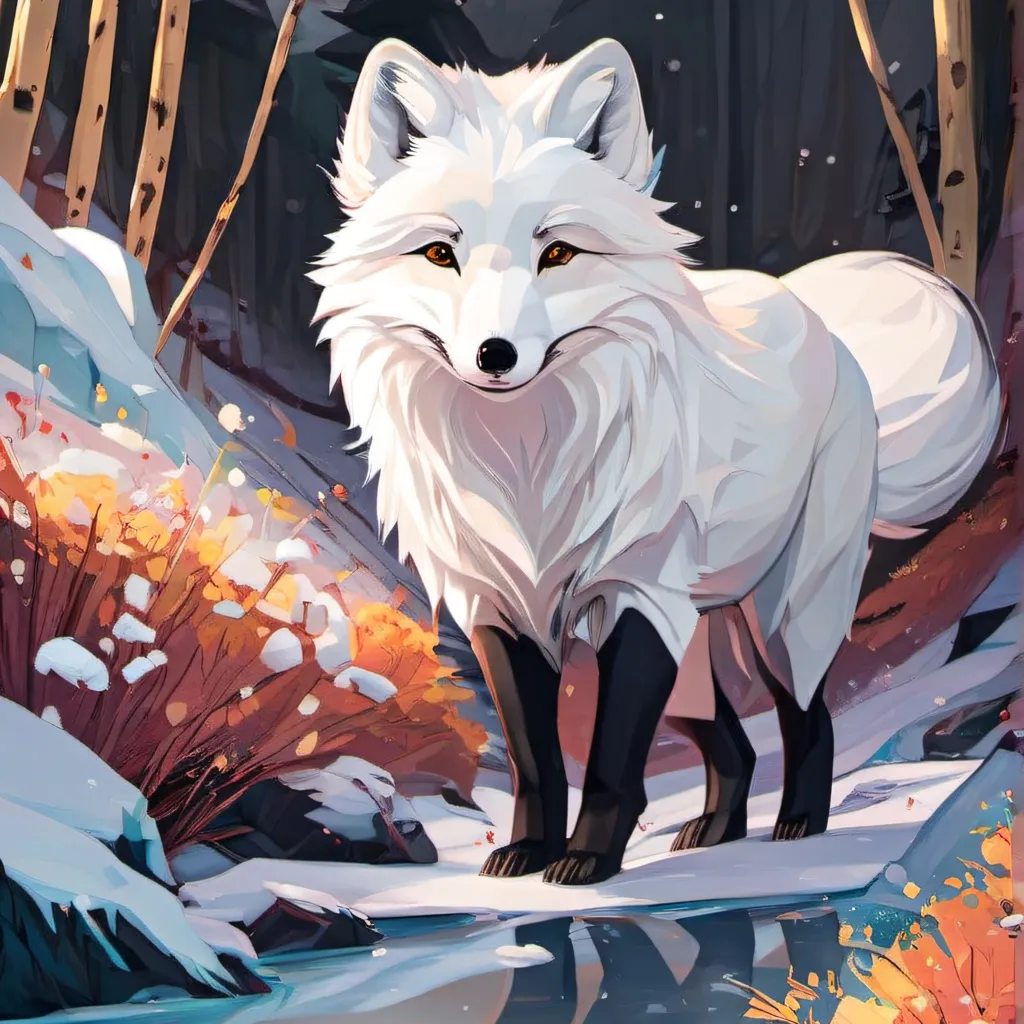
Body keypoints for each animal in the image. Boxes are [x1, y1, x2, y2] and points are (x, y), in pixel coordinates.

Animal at [310, 37, 1003, 886]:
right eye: (441, 254)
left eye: (559, 253)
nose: (495, 355)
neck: (526, 466)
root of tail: (822, 325)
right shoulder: (497, 608)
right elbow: (538, 760)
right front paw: (529, 853)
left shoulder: (634, 597)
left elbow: (612, 760)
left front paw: (586, 861)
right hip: (694, 647)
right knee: (733, 744)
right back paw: (715, 830)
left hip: (778, 619)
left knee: (809, 718)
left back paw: (799, 827)